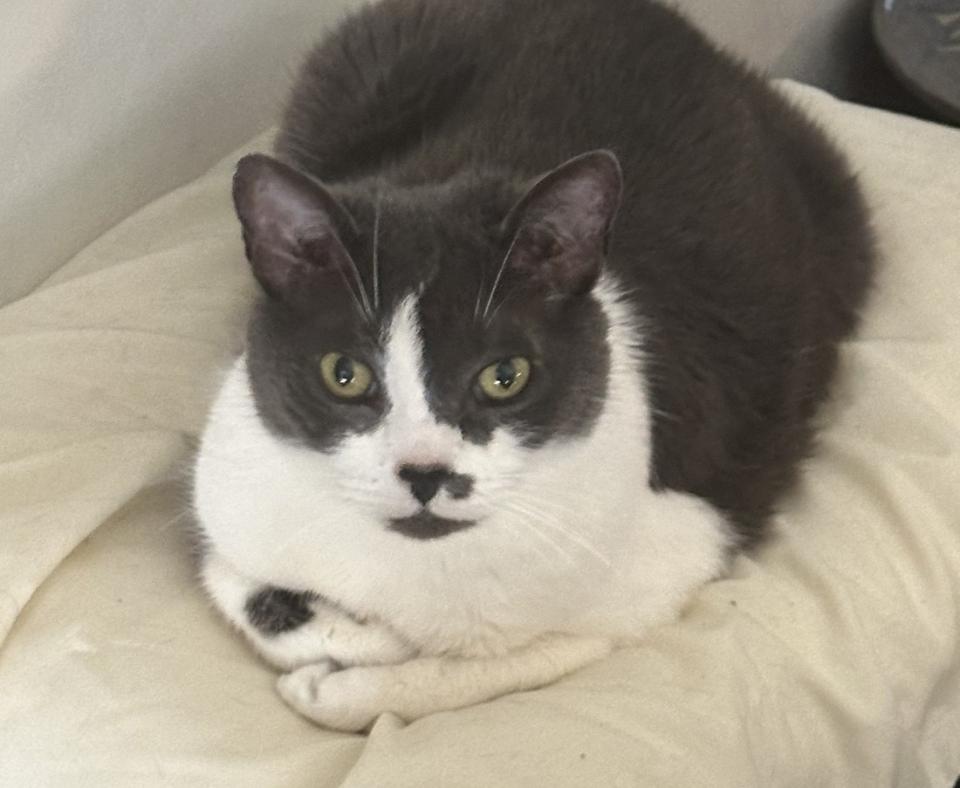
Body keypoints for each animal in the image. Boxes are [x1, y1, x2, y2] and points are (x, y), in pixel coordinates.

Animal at [191, 0, 872, 732]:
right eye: (344, 375)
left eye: (504, 376)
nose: (426, 473)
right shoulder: (229, 484)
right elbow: (238, 584)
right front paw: (354, 636)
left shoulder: (675, 548)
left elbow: (490, 665)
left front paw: (338, 681)